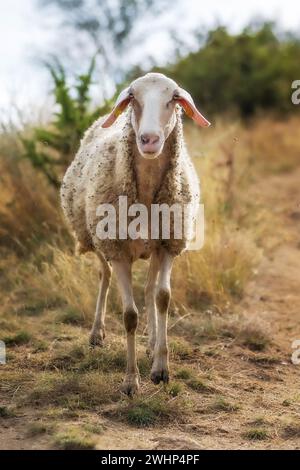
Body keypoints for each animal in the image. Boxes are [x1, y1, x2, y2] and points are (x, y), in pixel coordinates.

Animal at [60, 72, 210, 396]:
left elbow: (162, 297)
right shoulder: (117, 250)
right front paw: (131, 381)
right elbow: (129, 316)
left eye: (173, 99)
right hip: (96, 240)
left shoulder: (167, 245)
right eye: (133, 99)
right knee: (103, 276)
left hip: (150, 247)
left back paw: (152, 342)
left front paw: (161, 368)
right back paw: (97, 333)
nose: (149, 139)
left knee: (150, 290)